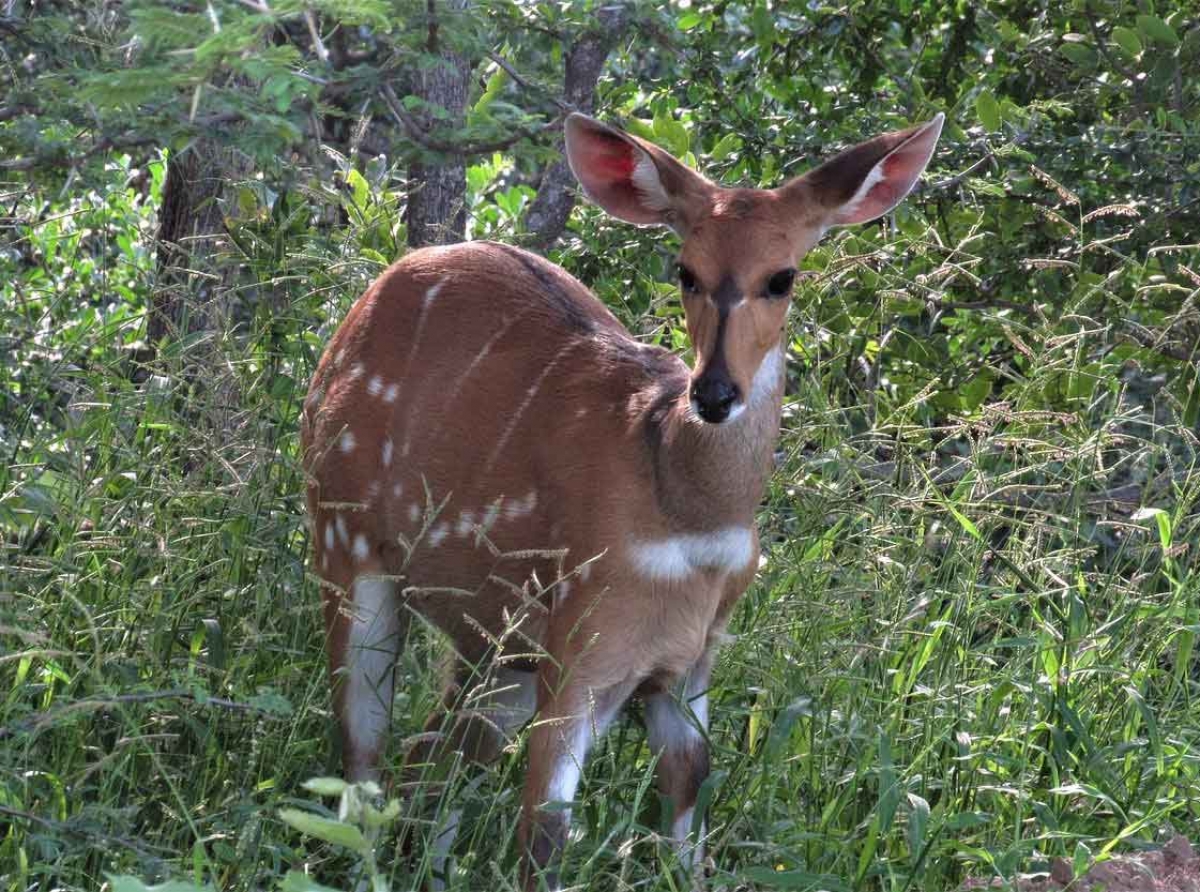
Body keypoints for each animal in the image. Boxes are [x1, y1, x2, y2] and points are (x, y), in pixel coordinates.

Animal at [300, 111, 936, 888]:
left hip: (496, 642)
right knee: (363, 752)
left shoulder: (689, 660)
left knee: (432, 756)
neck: (685, 512)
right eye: (685, 270)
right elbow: (544, 833)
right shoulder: (585, 643)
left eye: (781, 277)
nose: (714, 393)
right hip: (346, 540)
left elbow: (691, 801)